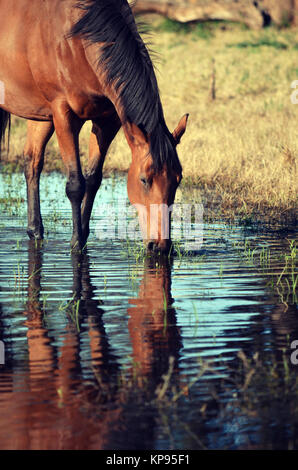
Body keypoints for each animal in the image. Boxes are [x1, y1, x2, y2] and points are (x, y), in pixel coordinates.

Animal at [0, 0, 187, 253]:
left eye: (178, 179)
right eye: (144, 180)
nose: (160, 246)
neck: (77, 39)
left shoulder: (107, 120)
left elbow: (93, 179)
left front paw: (84, 235)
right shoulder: (64, 115)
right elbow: (76, 184)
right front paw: (76, 243)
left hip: (40, 116)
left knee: (33, 162)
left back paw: (35, 232)